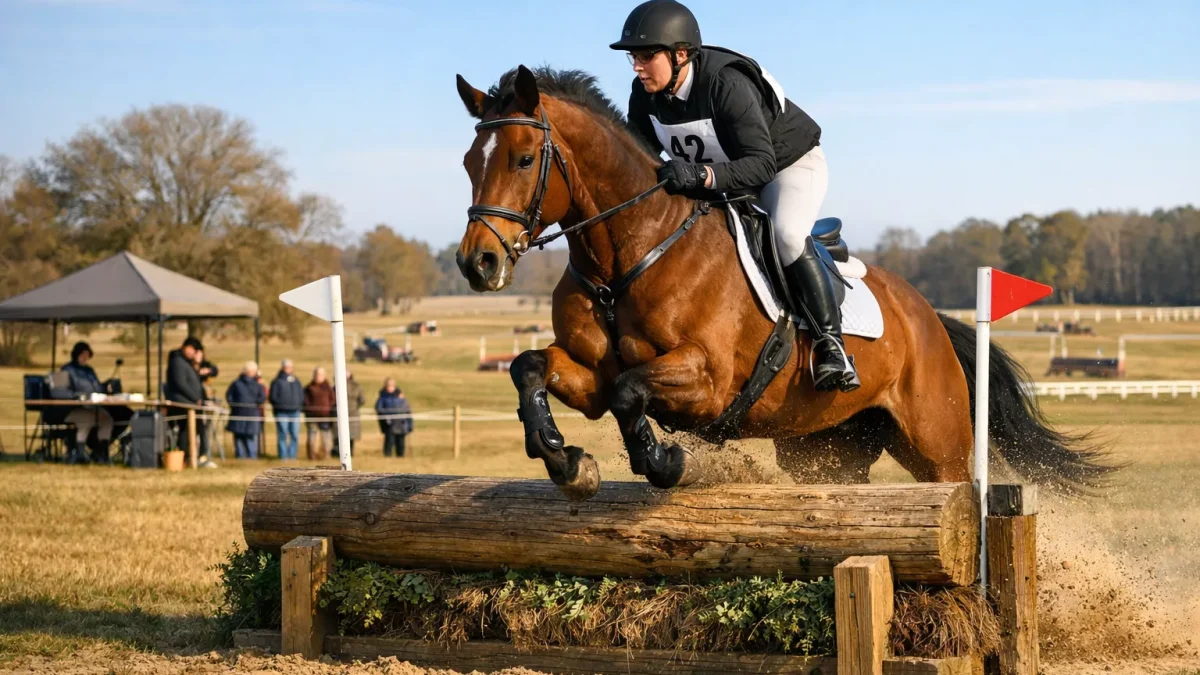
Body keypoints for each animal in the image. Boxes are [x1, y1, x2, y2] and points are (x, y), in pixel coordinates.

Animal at [454, 65, 1112, 501]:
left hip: (936, 442)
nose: (476, 263)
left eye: (522, 159)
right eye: (467, 162)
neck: (632, 252)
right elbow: (534, 368)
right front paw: (563, 459)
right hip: (824, 448)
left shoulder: (709, 379)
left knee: (953, 484)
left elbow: (629, 393)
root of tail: (929, 318)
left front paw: (666, 461)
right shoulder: (592, 372)